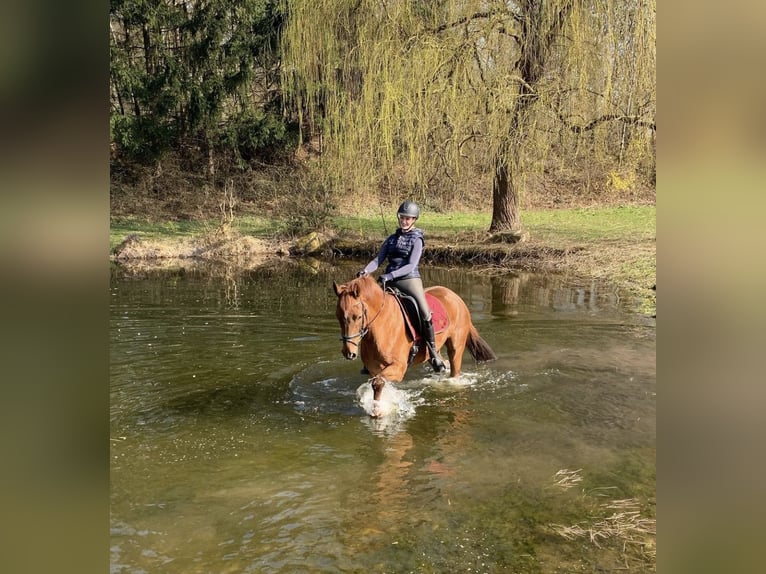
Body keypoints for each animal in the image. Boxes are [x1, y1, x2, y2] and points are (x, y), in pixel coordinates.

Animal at [332, 274, 496, 414]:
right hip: (432, 352)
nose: (348, 352)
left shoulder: (399, 368)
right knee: (441, 362)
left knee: (454, 370)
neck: (381, 326)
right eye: (338, 316)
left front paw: (378, 411)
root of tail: (455, 297)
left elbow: (377, 384)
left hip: (455, 346)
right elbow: (378, 386)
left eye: (357, 317)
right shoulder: (375, 369)